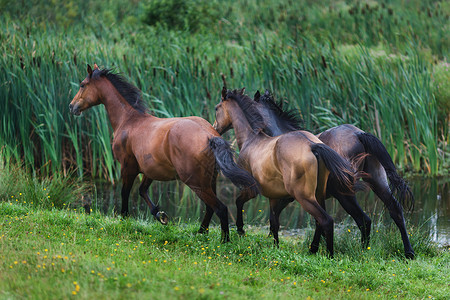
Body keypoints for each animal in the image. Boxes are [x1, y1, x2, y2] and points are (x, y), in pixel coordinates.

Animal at [68, 64, 258, 243]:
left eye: (82, 84)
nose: (71, 106)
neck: (129, 121)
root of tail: (210, 135)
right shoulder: (149, 170)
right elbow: (142, 191)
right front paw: (161, 216)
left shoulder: (127, 168)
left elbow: (125, 192)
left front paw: (124, 219)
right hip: (210, 180)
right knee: (211, 208)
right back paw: (201, 232)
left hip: (196, 183)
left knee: (220, 208)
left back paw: (223, 240)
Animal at [212, 88, 358, 256]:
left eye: (217, 108)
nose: (215, 128)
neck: (251, 139)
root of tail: (312, 145)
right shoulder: (274, 197)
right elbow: (274, 222)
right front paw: (275, 246)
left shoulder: (251, 189)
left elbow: (238, 202)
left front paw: (241, 230)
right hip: (318, 195)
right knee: (319, 221)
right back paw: (313, 249)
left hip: (304, 196)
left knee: (326, 220)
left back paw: (328, 254)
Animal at [253, 88, 414, 258]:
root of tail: (359, 134)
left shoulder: (289, 196)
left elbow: (276, 219)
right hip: (378, 181)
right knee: (394, 210)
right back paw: (405, 252)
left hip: (345, 194)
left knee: (363, 219)